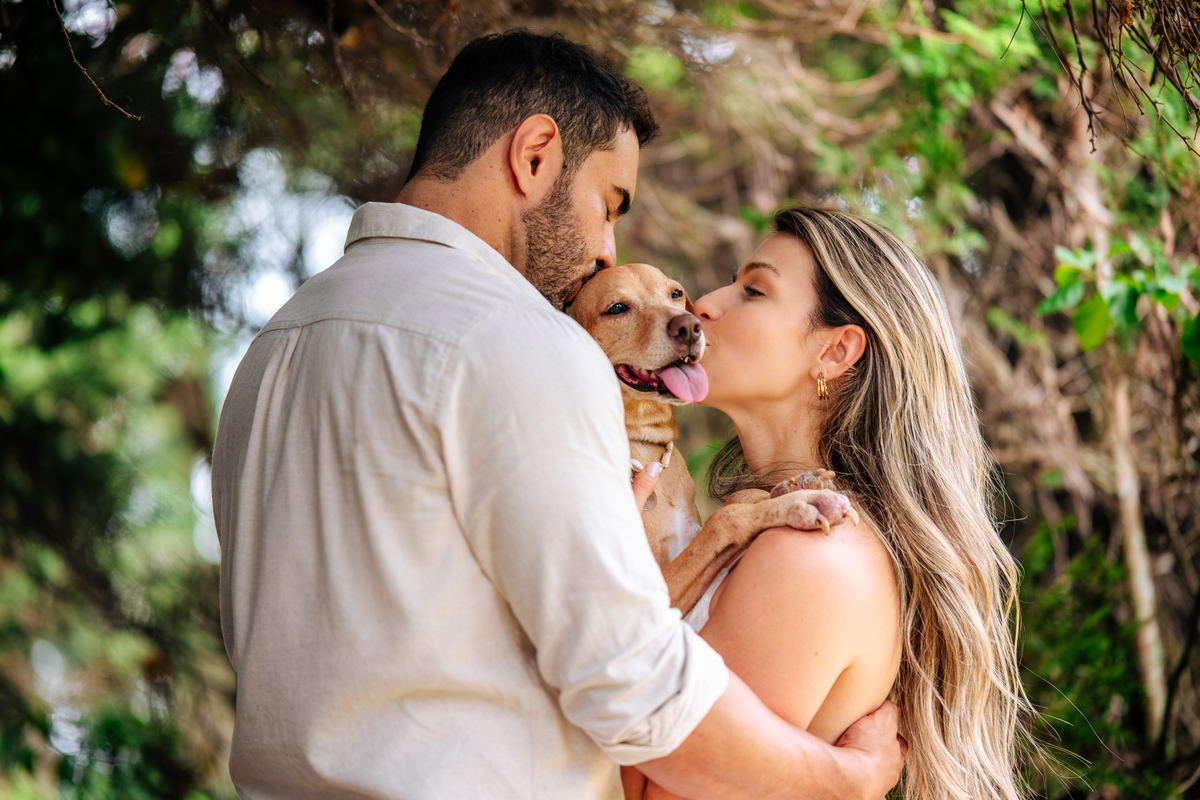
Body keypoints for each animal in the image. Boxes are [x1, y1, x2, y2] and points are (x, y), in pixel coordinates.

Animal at [566, 263, 858, 619]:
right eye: (617, 308)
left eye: (675, 293)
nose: (690, 327)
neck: (647, 442)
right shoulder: (653, 602)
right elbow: (722, 520)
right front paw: (797, 503)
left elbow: (738, 499)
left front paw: (794, 486)